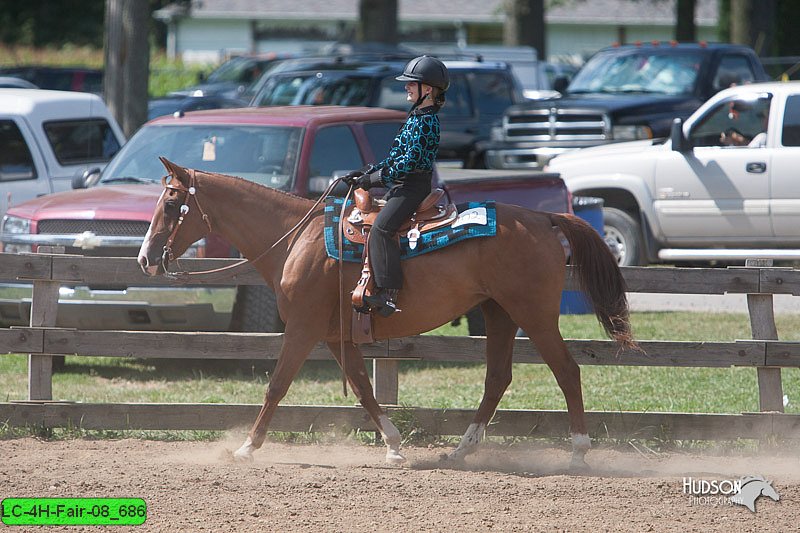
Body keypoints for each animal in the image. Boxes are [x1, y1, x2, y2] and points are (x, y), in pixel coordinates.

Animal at [139, 159, 636, 470]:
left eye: (171, 203)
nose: (145, 259)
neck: (294, 239)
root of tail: (542, 219)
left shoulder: (302, 328)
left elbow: (276, 386)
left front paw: (245, 448)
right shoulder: (335, 335)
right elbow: (362, 387)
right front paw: (395, 448)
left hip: (533, 314)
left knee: (567, 370)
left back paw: (578, 452)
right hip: (499, 313)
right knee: (497, 378)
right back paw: (459, 452)